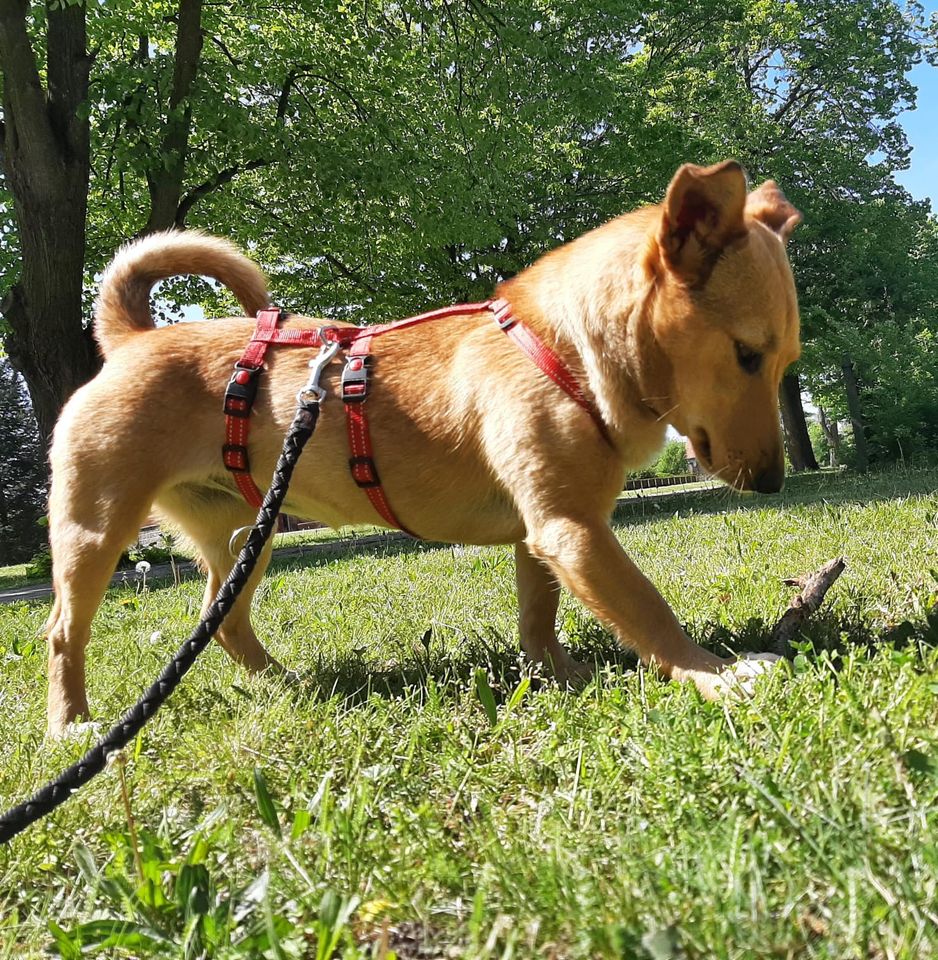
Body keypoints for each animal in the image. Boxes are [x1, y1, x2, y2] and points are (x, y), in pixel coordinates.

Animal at [44, 163, 800, 736]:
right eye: (746, 354)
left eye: (787, 362)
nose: (772, 482)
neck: (563, 349)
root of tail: (132, 338)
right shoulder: (573, 532)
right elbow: (649, 610)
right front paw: (716, 675)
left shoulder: (542, 535)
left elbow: (539, 618)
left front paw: (560, 674)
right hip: (95, 530)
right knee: (61, 632)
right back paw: (70, 724)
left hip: (246, 537)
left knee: (223, 623)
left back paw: (295, 686)